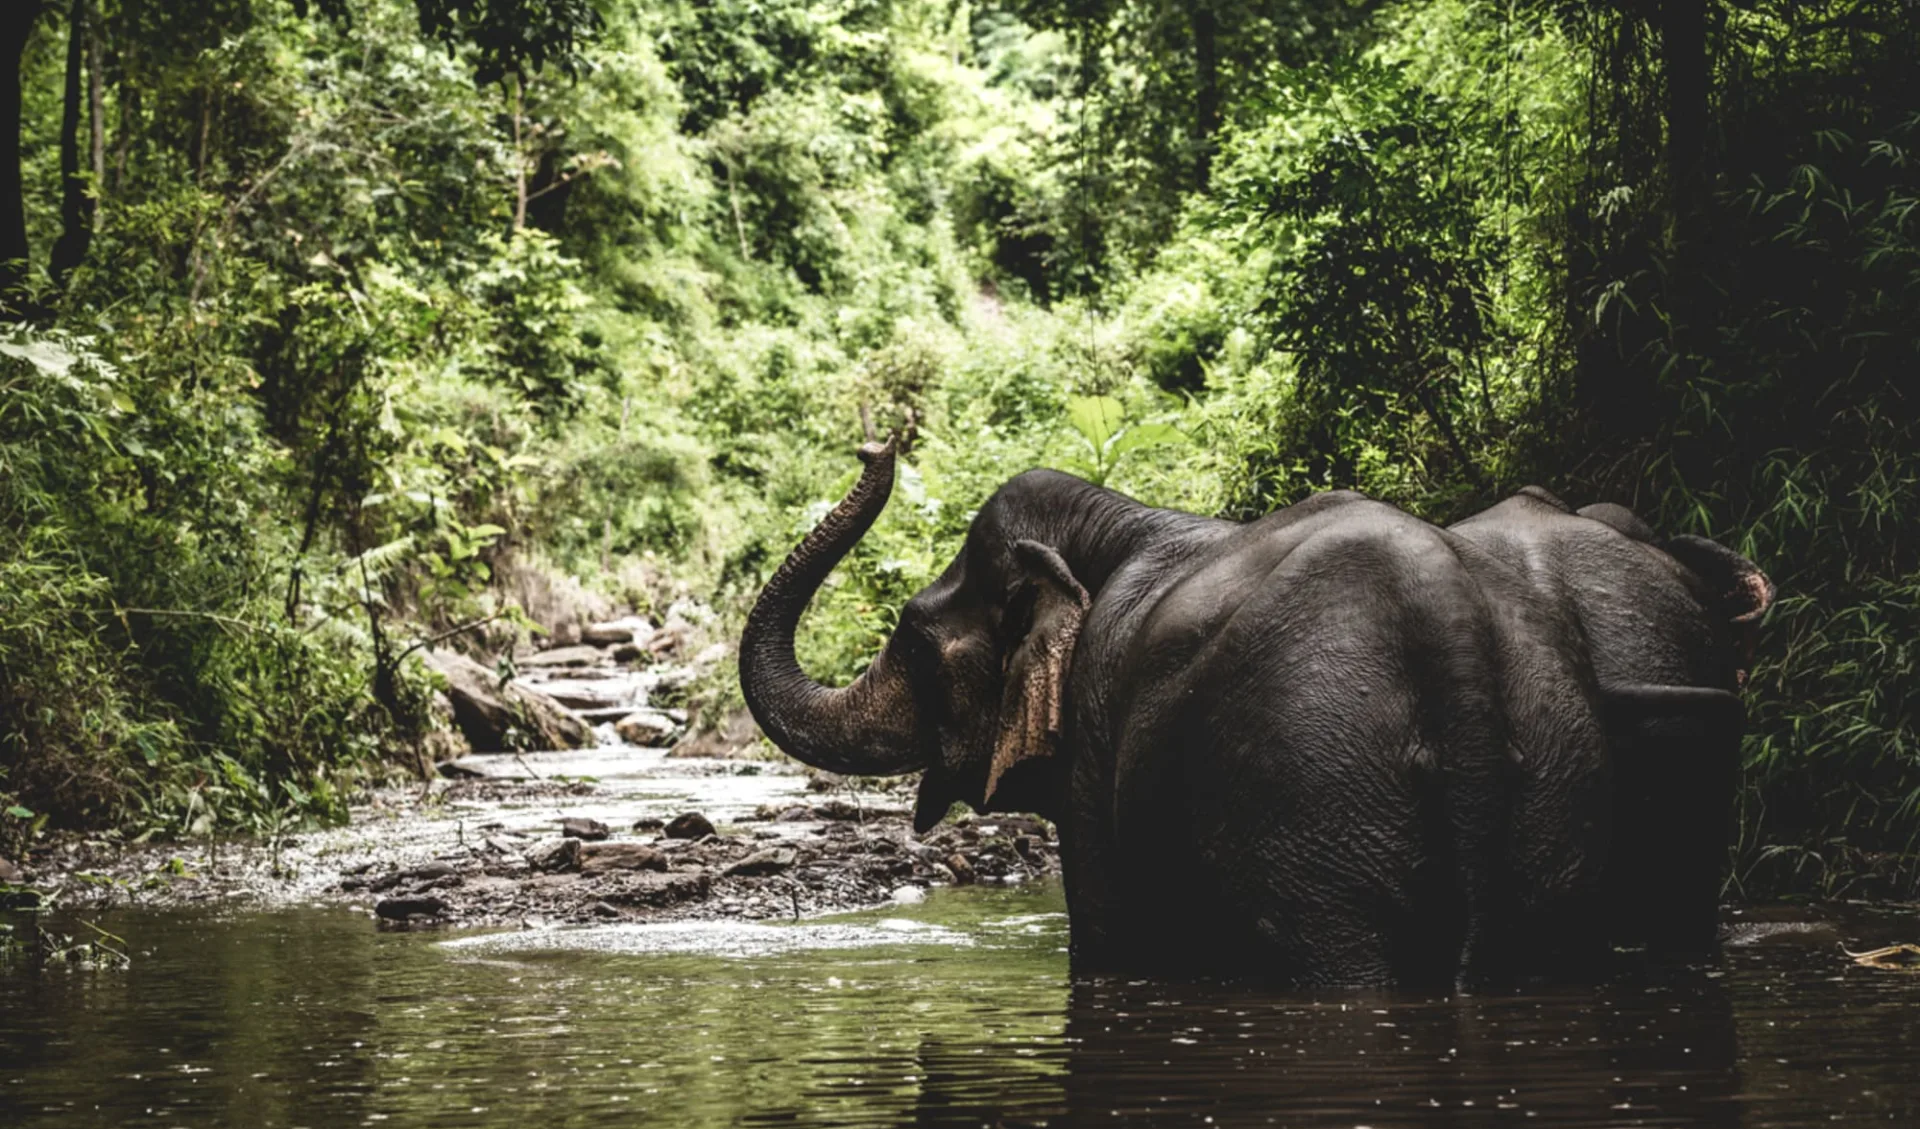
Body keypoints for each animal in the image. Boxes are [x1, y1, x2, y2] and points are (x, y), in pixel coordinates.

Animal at [740, 440, 1771, 987]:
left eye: (913, 638)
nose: (881, 442)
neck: (1117, 521)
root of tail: (1453, 625)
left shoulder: (1096, 749)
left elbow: (1110, 944)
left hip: (1317, 796)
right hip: (1555, 785)